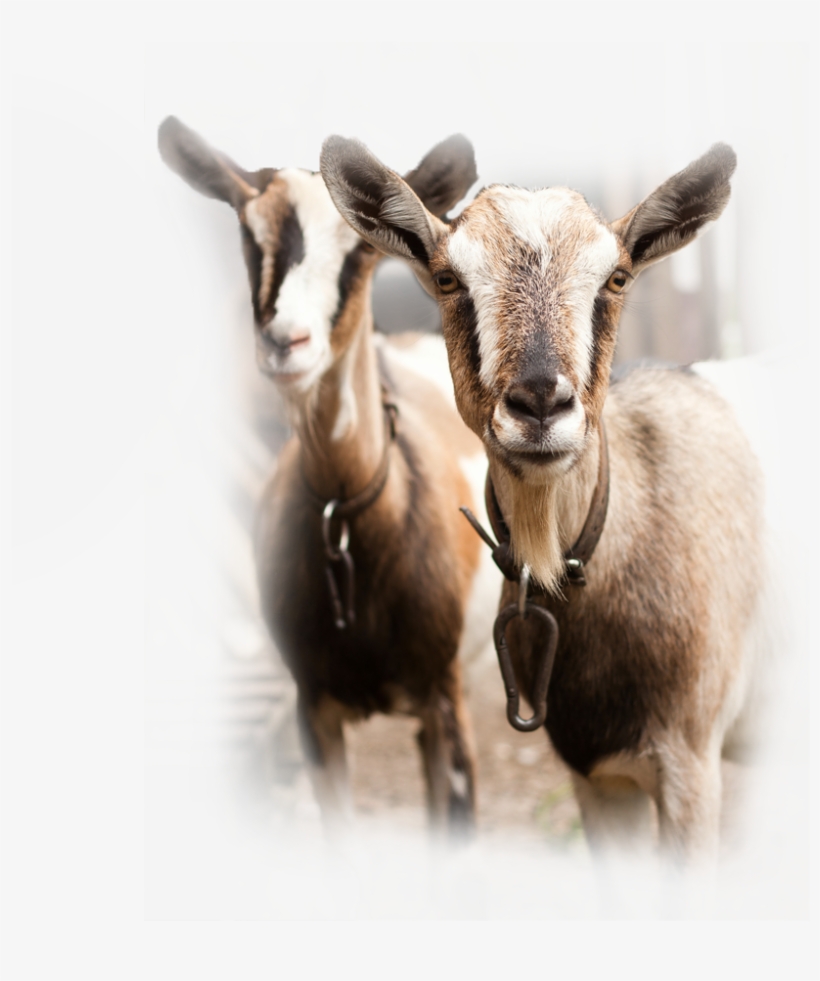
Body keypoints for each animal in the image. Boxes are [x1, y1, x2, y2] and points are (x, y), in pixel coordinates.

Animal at [157, 118, 501, 838]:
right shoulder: (313, 710)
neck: (350, 513)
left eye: (358, 251)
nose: (286, 342)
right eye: (248, 232)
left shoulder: (443, 699)